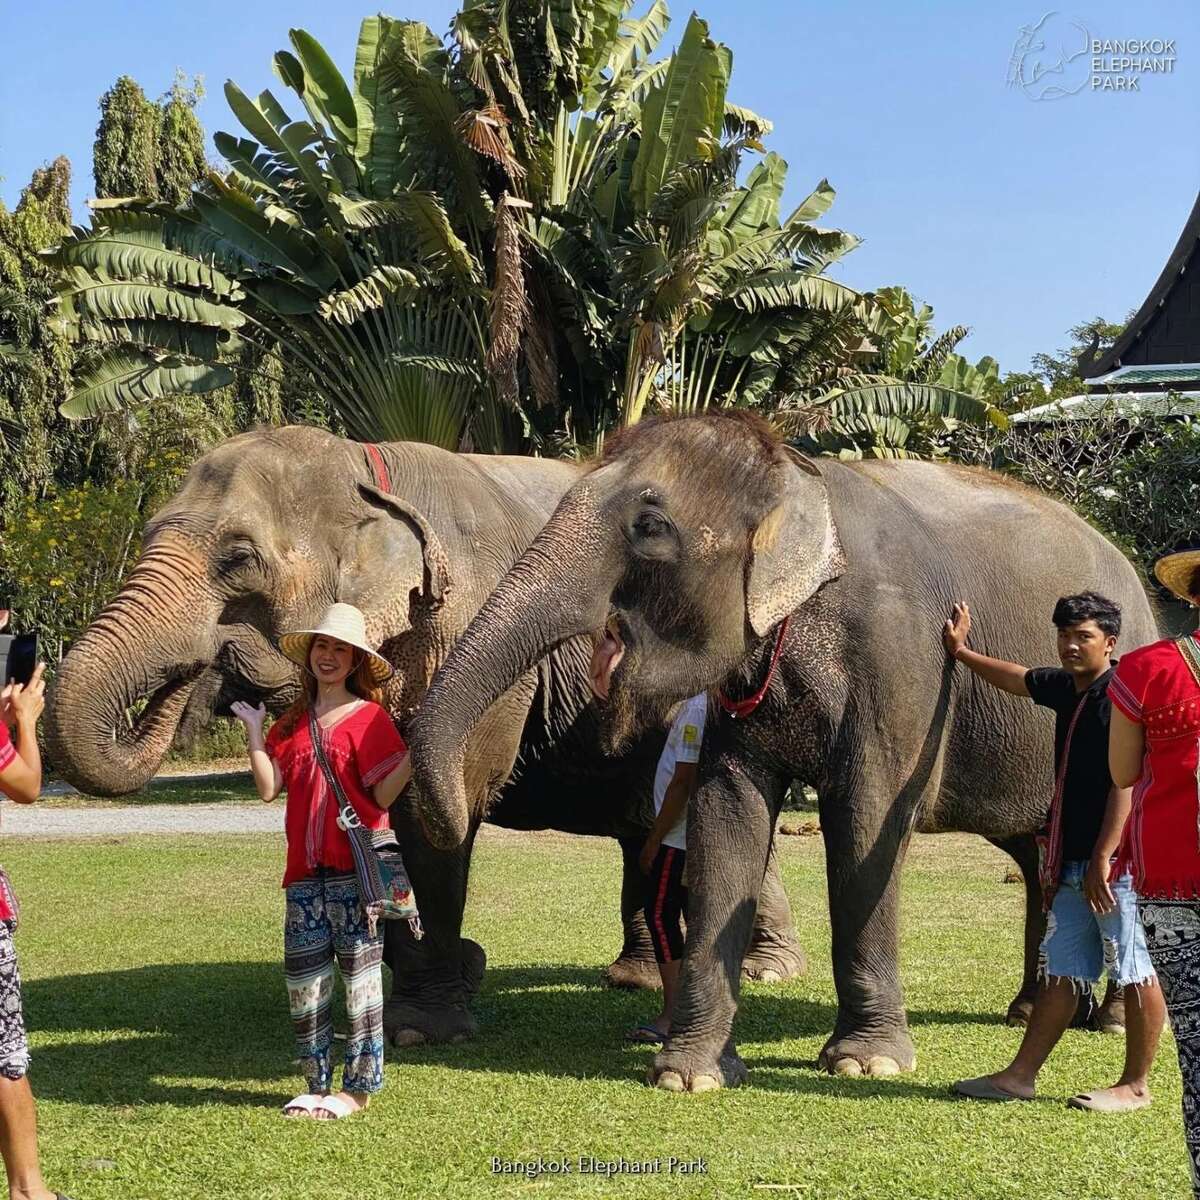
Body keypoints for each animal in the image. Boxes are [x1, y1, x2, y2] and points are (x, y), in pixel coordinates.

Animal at [45, 424, 807, 1047]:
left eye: (237, 558)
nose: (204, 674)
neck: (366, 466)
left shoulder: (464, 625)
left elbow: (429, 812)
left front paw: (426, 1026)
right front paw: (449, 978)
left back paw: (766, 972)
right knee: (642, 827)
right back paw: (632, 979)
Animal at [409, 410, 1158, 1090]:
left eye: (649, 526)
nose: (471, 801)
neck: (799, 479)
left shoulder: (899, 658)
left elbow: (865, 827)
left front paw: (866, 1063)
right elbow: (724, 818)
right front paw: (690, 1073)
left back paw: (1109, 1019)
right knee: (1035, 854)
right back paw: (1032, 1009)